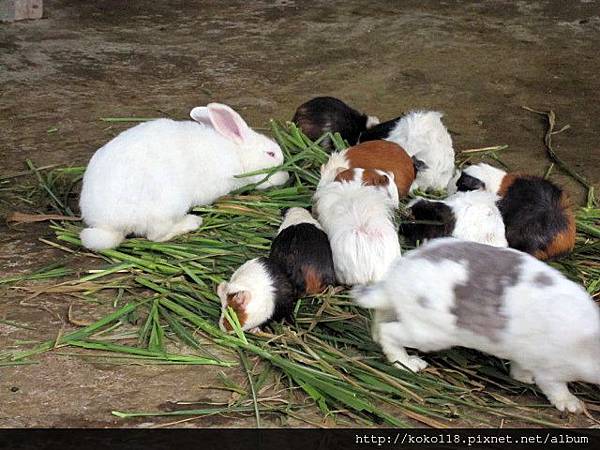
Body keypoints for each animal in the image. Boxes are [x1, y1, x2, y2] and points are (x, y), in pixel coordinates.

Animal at [78, 103, 290, 250]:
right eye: (270, 154)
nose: (282, 158)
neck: (237, 152)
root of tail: (105, 224)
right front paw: (284, 175)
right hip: (170, 205)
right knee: (156, 235)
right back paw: (192, 222)